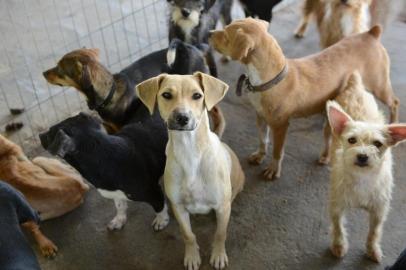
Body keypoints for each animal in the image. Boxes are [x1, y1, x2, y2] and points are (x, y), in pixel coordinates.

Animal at [39, 113, 168, 231]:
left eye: (49, 133)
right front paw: (119, 220)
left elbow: (160, 207)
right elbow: (120, 206)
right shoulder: (116, 194)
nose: (39, 135)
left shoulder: (154, 193)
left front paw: (161, 220)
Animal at [136, 71, 244, 270]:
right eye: (166, 95)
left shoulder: (222, 207)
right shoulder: (178, 207)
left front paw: (218, 255)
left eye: (197, 95)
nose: (182, 117)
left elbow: (220, 234)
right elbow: (188, 235)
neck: (190, 152)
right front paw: (192, 256)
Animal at [208, 17, 398, 180]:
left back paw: (393, 124)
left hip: (379, 85)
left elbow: (277, 151)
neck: (272, 78)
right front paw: (259, 156)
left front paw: (273, 170)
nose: (209, 32)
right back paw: (324, 156)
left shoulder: (280, 126)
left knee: (395, 102)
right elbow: (263, 140)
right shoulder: (260, 117)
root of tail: (371, 34)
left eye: (225, 35)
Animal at [326, 73, 406, 262]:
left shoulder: (379, 210)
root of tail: (356, 85)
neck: (361, 177)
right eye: (351, 140)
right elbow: (338, 227)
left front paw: (372, 250)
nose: (362, 156)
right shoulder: (337, 205)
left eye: (377, 144)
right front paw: (339, 246)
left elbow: (374, 232)